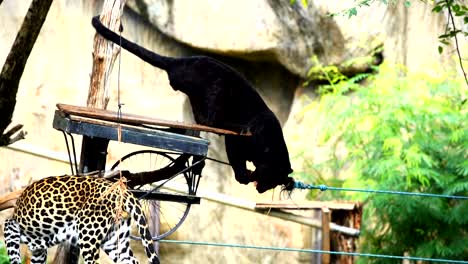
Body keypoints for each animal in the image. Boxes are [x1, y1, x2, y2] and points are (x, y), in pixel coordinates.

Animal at [2, 174, 161, 262]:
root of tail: (122, 191)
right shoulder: (38, 252)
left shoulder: (10, 225)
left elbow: (13, 256)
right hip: (115, 242)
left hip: (88, 240)